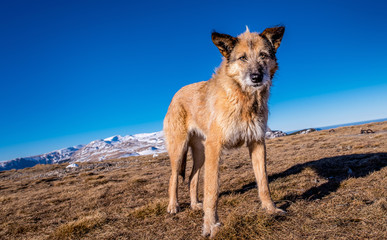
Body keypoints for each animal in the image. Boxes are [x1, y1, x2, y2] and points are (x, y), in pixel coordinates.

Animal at [164, 25, 284, 236]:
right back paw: (173, 206)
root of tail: (175, 95)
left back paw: (195, 204)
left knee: (193, 177)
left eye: (263, 55)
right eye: (242, 58)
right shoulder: (215, 147)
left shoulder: (257, 143)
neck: (243, 98)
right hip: (179, 150)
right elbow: (212, 190)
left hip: (201, 154)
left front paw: (271, 209)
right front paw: (211, 225)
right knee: (173, 178)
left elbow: (263, 182)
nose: (256, 77)